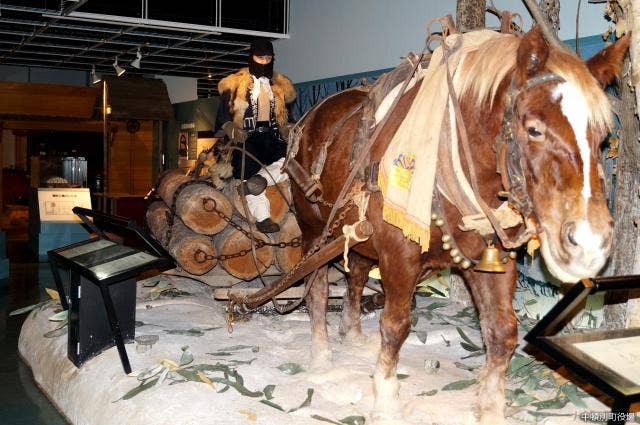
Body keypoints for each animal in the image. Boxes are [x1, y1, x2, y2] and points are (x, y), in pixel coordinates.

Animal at [290, 28, 632, 422]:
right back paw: (321, 355)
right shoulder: (398, 253)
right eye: (533, 129)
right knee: (316, 287)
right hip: (314, 231)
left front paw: (491, 407)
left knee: (357, 273)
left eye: (603, 134)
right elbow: (395, 325)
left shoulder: (491, 257)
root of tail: (312, 115)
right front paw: (386, 402)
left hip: (358, 232)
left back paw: (353, 335)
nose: (590, 242)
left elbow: (502, 331)